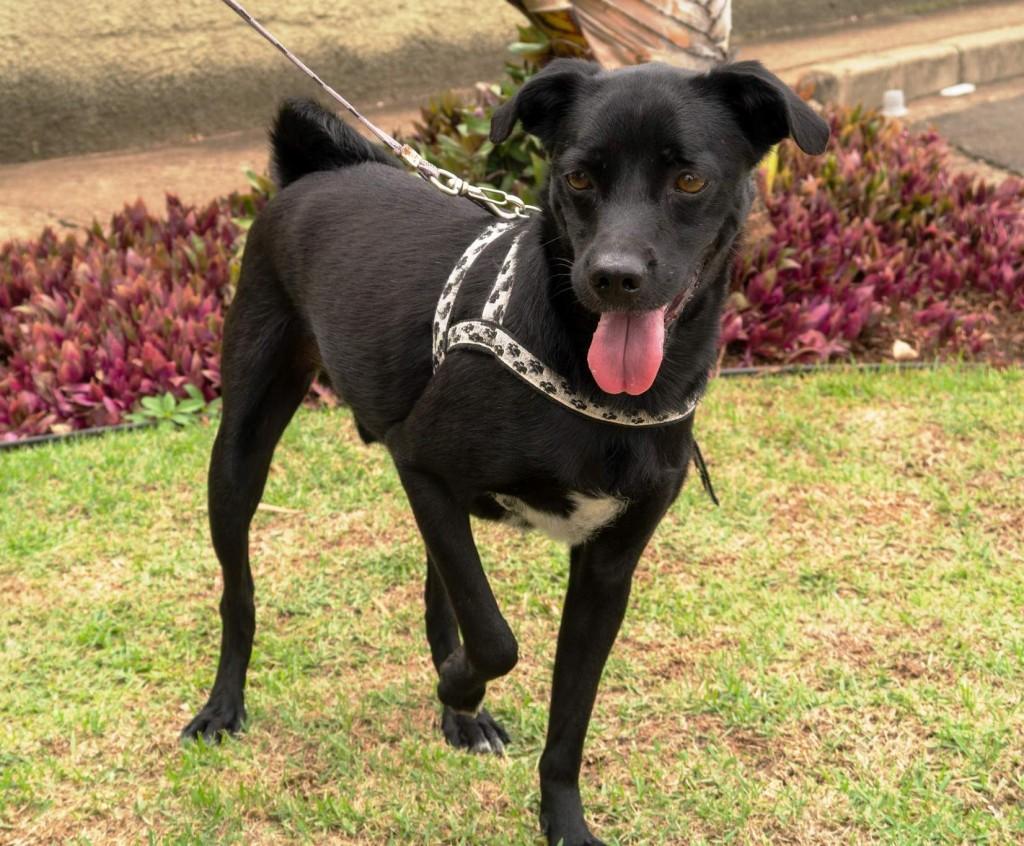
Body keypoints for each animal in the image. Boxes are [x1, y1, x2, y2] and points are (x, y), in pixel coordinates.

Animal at [180, 56, 827, 839]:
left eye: (690, 181)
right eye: (577, 176)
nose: (613, 277)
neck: (595, 383)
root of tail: (317, 172)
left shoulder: (606, 567)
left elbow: (566, 717)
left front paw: (562, 820)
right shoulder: (422, 465)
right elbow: (494, 636)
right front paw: (459, 685)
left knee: (439, 588)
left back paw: (461, 719)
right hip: (243, 447)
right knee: (239, 591)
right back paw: (224, 706)